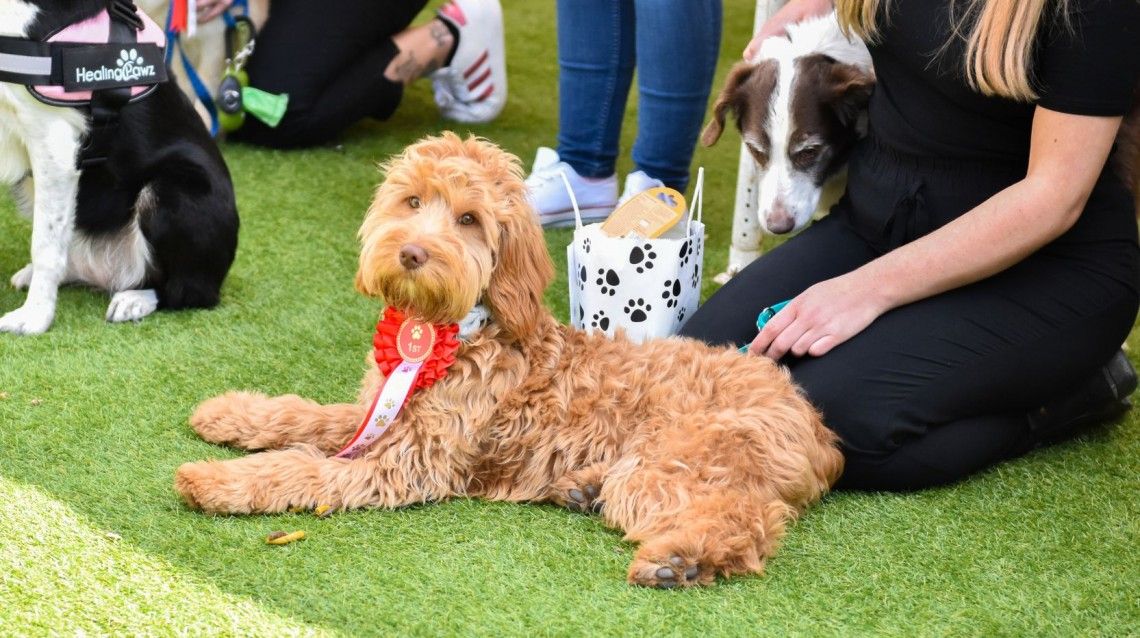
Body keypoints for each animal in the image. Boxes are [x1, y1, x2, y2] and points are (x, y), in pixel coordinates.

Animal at [0, 0, 235, 337]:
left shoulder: (53, 142)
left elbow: (45, 246)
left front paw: (34, 317)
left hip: (171, 191)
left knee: (187, 291)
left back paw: (134, 300)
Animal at [173, 134, 843, 587]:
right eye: (412, 201)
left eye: (469, 219)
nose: (412, 252)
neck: (461, 329)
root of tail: (814, 423)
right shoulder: (379, 414)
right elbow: (304, 416)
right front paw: (229, 413)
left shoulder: (408, 463)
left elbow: (301, 469)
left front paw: (215, 480)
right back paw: (582, 489)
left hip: (676, 459)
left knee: (749, 520)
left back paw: (682, 559)